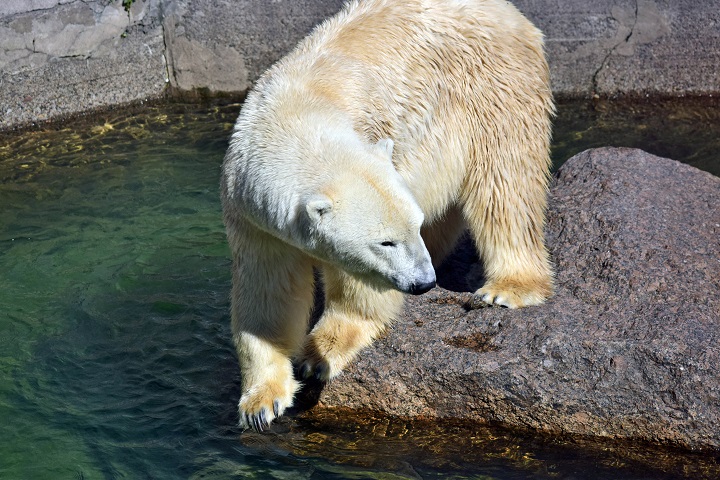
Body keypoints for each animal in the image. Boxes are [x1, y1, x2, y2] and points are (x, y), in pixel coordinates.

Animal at [222, 0, 556, 430]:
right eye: (387, 241)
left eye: (408, 229)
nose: (424, 283)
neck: (294, 113)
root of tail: (514, 16)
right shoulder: (251, 214)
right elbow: (267, 292)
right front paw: (261, 403)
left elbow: (356, 285)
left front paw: (320, 353)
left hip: (495, 87)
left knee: (505, 184)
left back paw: (507, 288)